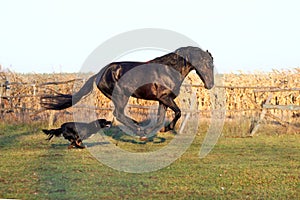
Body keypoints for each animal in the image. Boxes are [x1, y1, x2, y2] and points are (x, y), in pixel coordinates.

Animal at [41, 46, 214, 138]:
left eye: (211, 64)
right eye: (205, 63)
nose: (210, 85)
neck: (169, 71)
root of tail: (100, 73)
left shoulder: (163, 100)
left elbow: (160, 120)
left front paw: (159, 130)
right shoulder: (165, 98)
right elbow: (178, 112)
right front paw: (160, 129)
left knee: (119, 115)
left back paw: (138, 127)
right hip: (121, 96)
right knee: (118, 114)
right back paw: (137, 128)